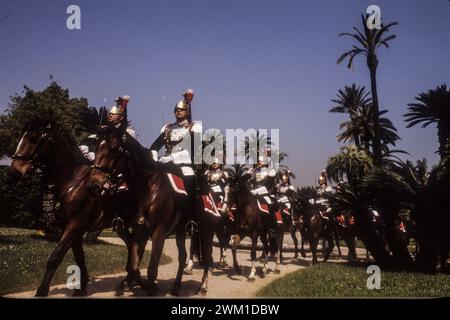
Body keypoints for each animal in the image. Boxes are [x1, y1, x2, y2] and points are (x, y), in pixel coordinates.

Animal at [10, 120, 137, 298]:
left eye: (33, 138)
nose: (15, 169)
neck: (73, 182)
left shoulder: (74, 225)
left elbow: (55, 257)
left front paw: (41, 291)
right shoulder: (73, 228)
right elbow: (79, 257)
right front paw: (81, 288)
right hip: (121, 227)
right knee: (132, 245)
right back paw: (129, 279)